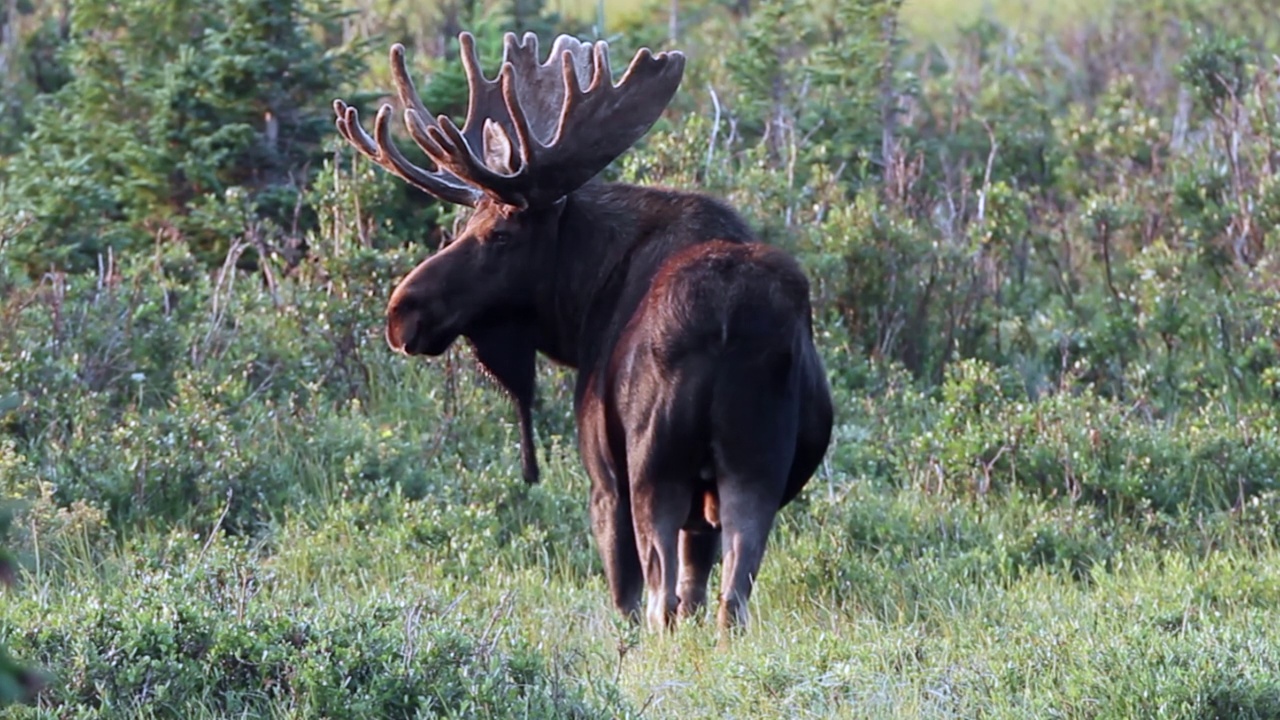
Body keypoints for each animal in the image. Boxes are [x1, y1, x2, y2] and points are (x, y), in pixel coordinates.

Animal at [330, 32, 834, 627]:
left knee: (659, 597)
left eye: (498, 233)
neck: (582, 303)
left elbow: (628, 596)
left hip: (654, 468)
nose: (401, 312)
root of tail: (730, 322)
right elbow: (696, 589)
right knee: (731, 594)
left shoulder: (604, 477)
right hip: (754, 464)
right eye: (463, 225)